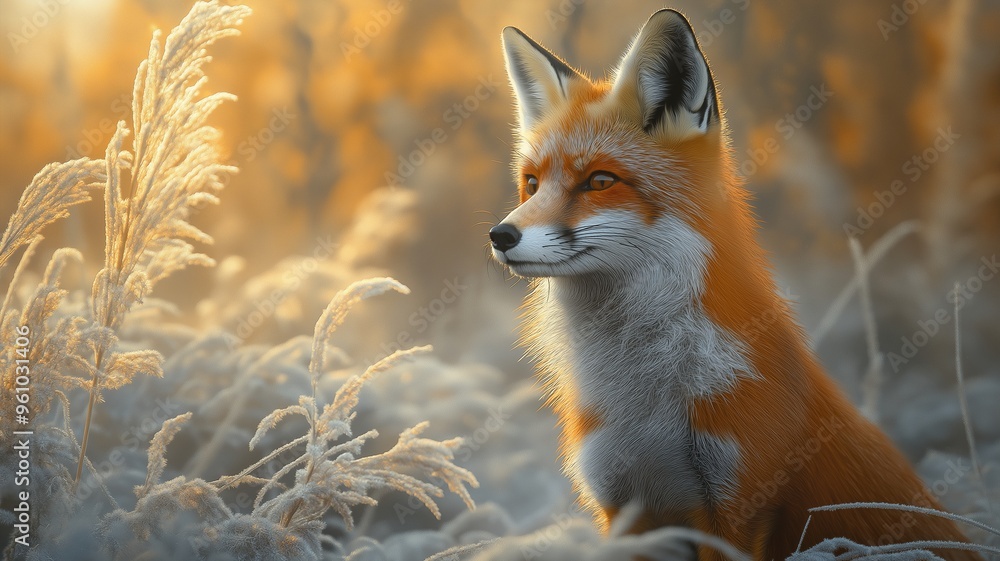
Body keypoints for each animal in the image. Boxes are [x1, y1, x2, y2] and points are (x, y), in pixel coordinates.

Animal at [489, 9, 980, 561]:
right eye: (532, 183)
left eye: (600, 181)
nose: (500, 236)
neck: (645, 402)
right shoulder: (624, 510)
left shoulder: (738, 504)